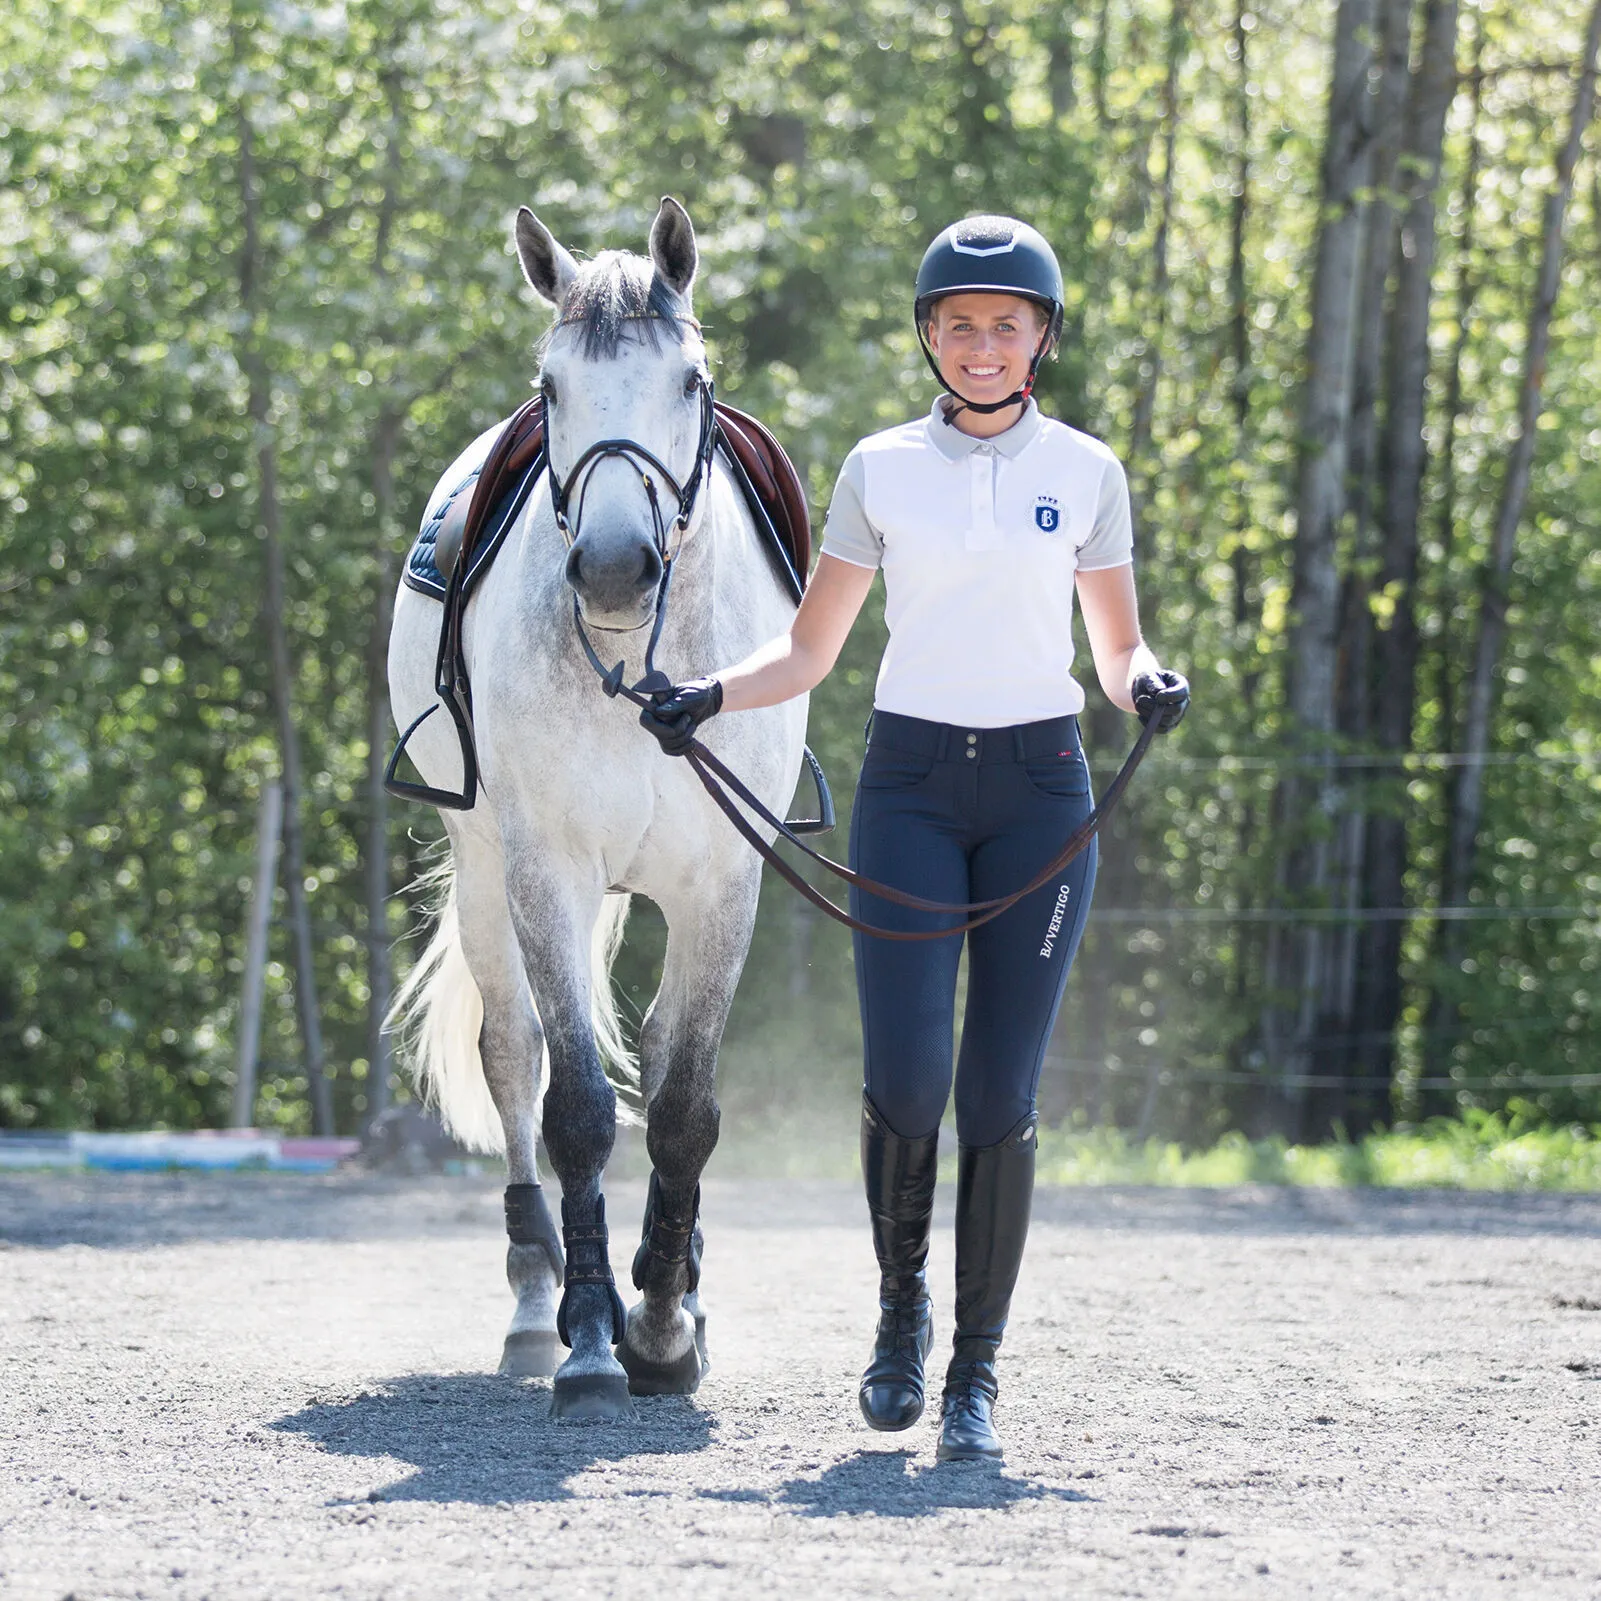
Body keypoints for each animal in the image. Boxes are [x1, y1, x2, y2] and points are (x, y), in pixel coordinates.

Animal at [385, 200, 806, 1415]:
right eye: (553, 383)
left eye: (690, 380)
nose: (615, 567)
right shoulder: (546, 870)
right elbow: (571, 1104)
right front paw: (588, 1336)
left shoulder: (724, 882)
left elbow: (683, 1103)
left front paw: (664, 1324)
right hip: (486, 873)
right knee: (515, 1058)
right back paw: (538, 1306)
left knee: (660, 1059)